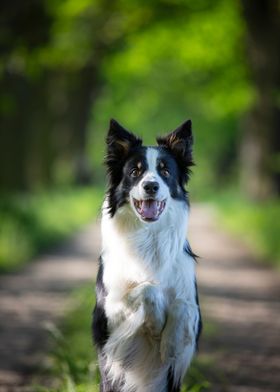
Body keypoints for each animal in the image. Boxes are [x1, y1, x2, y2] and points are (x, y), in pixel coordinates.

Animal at [93, 119, 202, 392]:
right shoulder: (108, 312)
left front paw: (170, 343)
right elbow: (146, 288)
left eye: (165, 171)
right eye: (135, 172)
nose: (150, 186)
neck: (149, 236)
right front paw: (156, 325)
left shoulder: (194, 309)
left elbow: (183, 305)